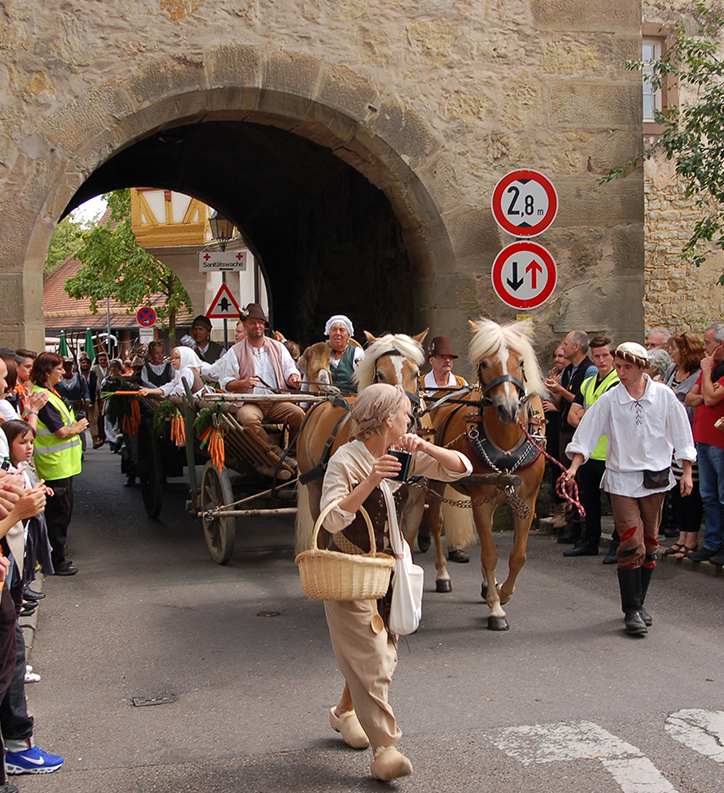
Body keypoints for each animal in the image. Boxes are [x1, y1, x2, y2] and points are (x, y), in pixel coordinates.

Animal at [296, 332, 430, 552]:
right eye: (380, 374)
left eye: (416, 374)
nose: (407, 419)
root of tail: (322, 402)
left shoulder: (414, 509)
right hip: (315, 489)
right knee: (322, 533)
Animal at [422, 318, 544, 632]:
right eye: (485, 363)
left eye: (521, 362)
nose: (509, 409)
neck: (505, 442)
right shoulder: (482, 501)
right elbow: (489, 554)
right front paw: (496, 609)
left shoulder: (526, 500)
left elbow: (518, 556)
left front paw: (501, 591)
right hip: (437, 482)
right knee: (435, 521)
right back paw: (442, 575)